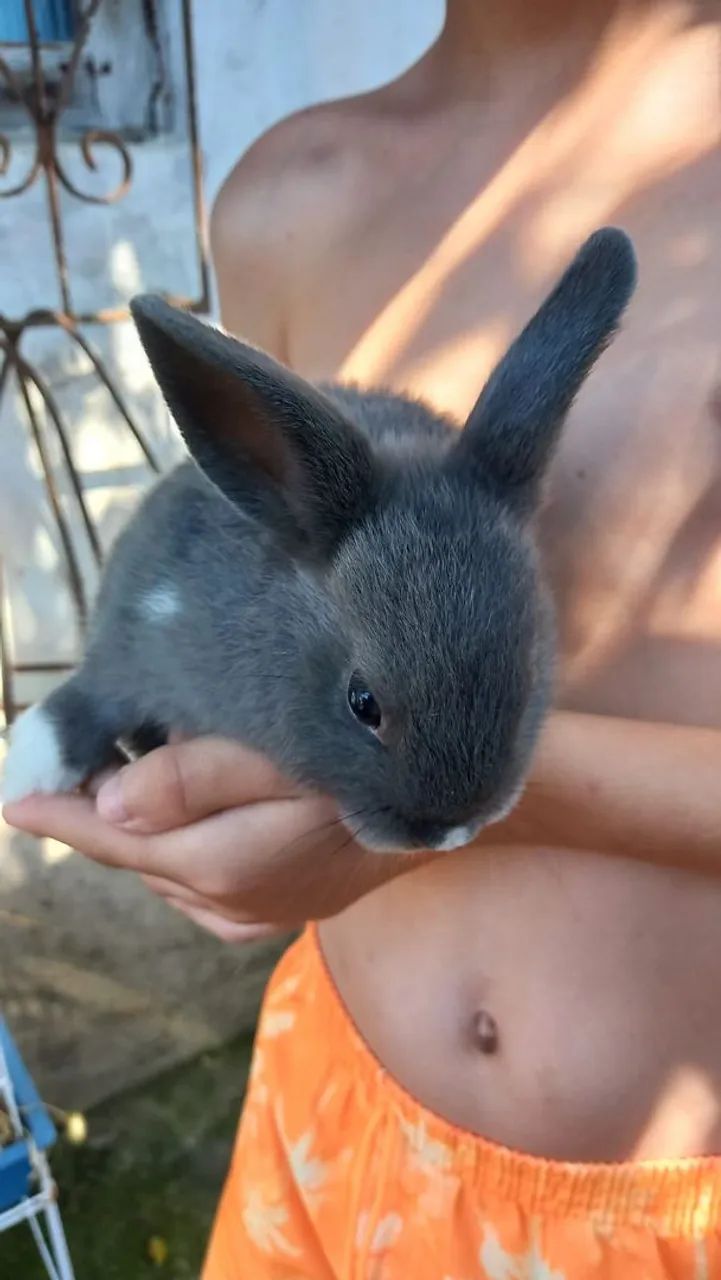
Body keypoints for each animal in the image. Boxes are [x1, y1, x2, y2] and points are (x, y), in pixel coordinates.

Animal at [2, 228, 637, 853]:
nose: (452, 830)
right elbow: (91, 696)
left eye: (526, 677)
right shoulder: (132, 630)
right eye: (364, 703)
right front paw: (24, 765)